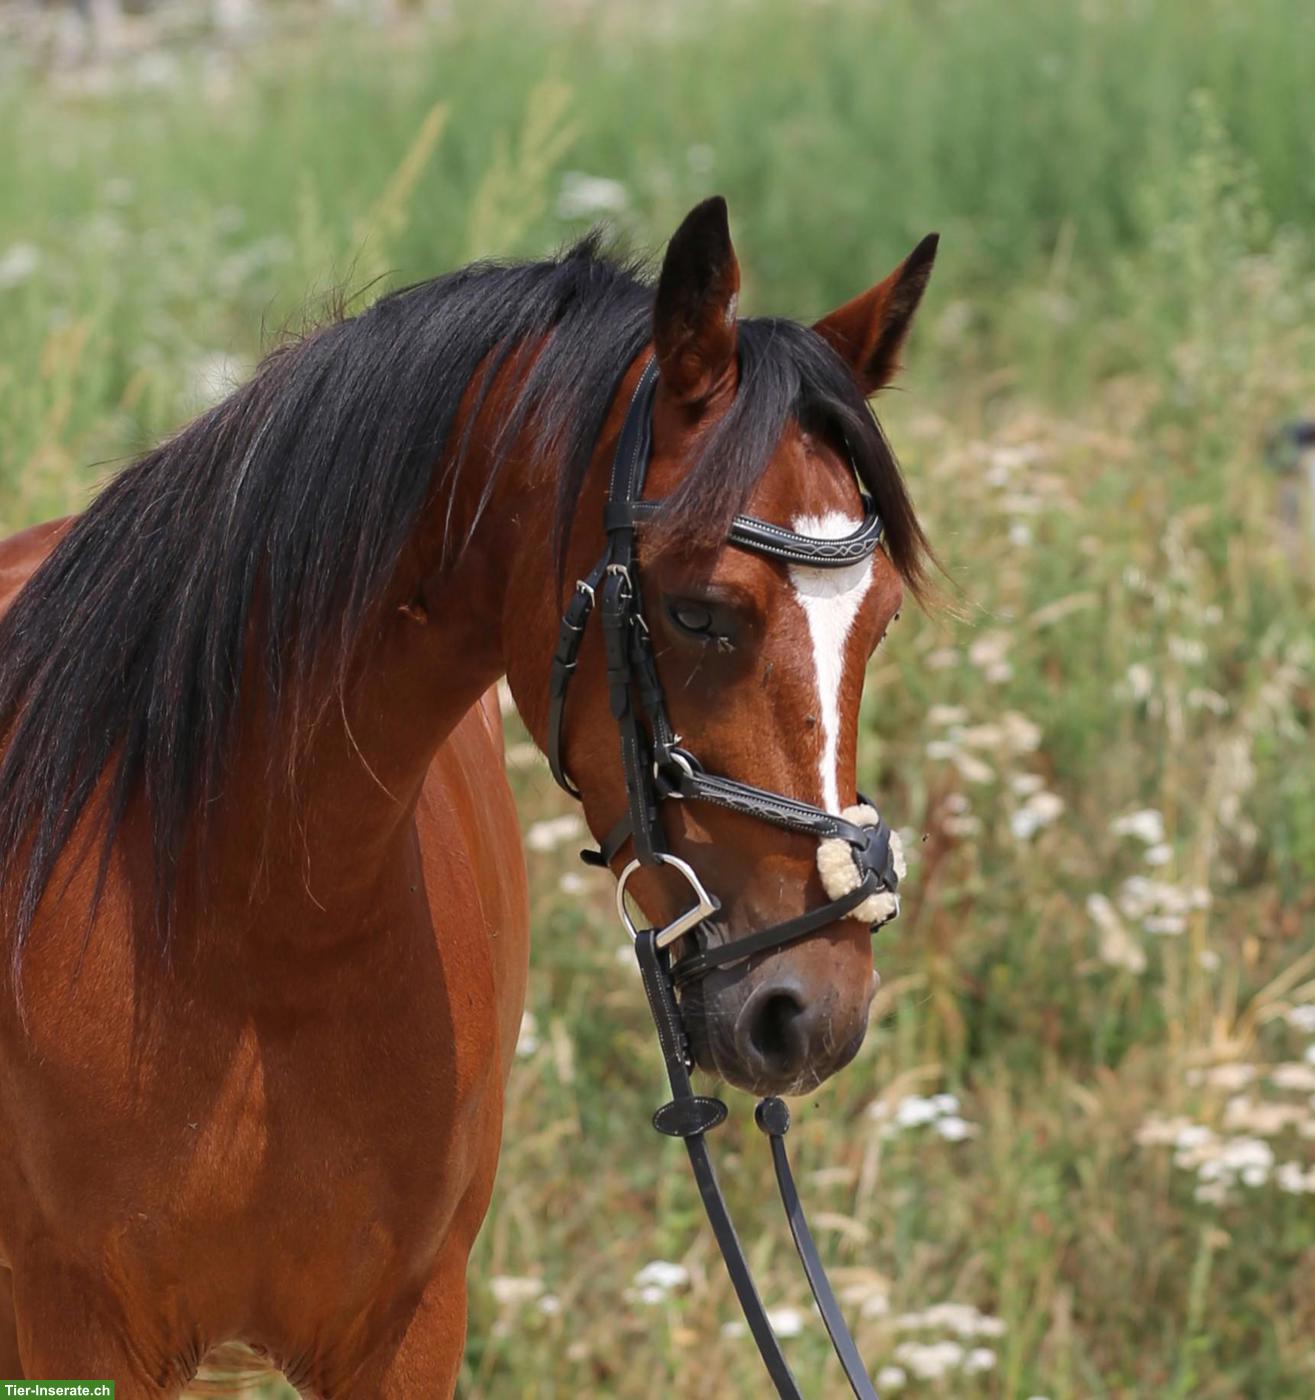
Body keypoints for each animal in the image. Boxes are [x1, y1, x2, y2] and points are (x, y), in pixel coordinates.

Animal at [0, 196, 935, 1394]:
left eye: (881, 618)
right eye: (697, 612)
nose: (814, 1013)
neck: (248, 930)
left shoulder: (409, 1327)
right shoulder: (78, 1334)